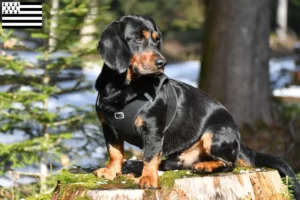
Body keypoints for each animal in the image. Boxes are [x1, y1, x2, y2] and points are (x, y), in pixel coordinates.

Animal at [94, 15, 300, 198]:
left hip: (214, 134)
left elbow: (151, 156)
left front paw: (148, 179)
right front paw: (111, 172)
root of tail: (239, 141)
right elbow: (115, 152)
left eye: (156, 39)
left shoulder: (153, 129)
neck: (124, 88)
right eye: (138, 38)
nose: (162, 63)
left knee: (229, 163)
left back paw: (204, 166)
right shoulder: (108, 127)